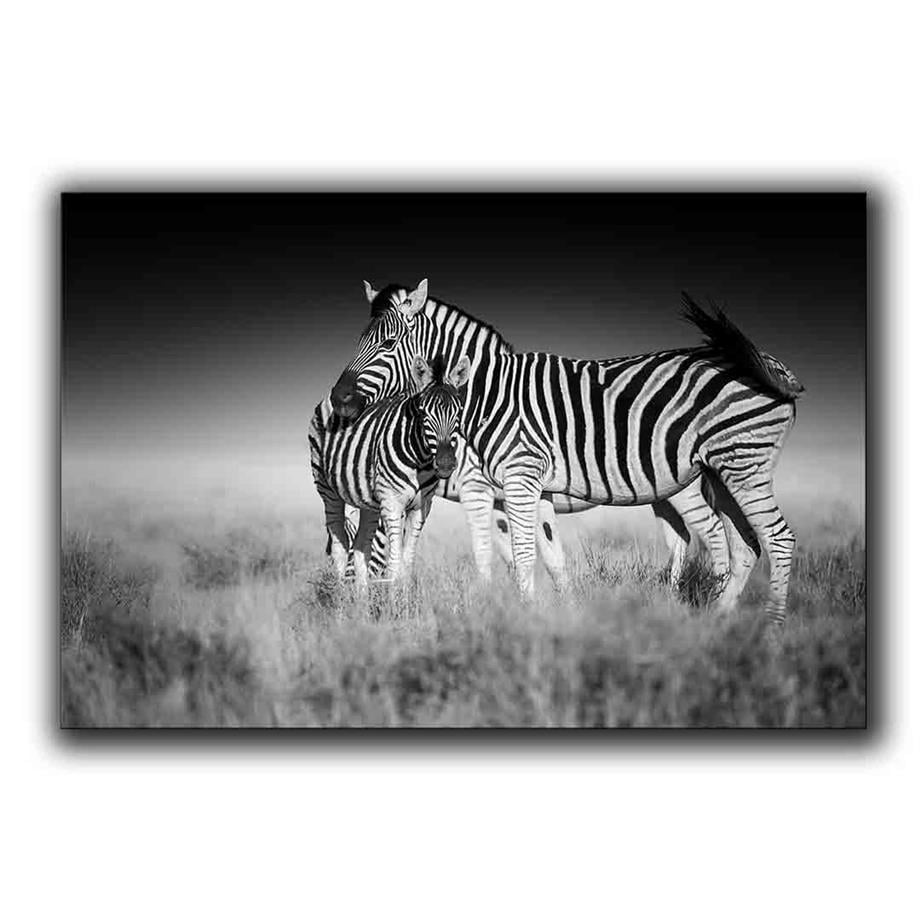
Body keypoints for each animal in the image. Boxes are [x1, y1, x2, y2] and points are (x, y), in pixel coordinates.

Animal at [310, 353, 470, 588]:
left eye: (458, 412)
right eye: (423, 413)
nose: (446, 463)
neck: (421, 460)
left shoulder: (421, 507)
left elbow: (407, 564)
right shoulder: (393, 503)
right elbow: (394, 566)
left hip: (369, 502)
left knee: (360, 548)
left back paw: (361, 599)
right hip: (327, 489)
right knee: (339, 548)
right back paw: (341, 598)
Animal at [330, 281, 803, 624]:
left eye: (388, 344)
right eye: (359, 340)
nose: (339, 400)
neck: (487, 395)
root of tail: (771, 364)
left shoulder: (498, 483)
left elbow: (506, 555)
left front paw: (510, 617)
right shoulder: (527, 488)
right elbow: (546, 558)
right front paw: (554, 613)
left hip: (736, 467)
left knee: (766, 540)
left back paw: (769, 634)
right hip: (720, 471)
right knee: (737, 545)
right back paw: (714, 621)